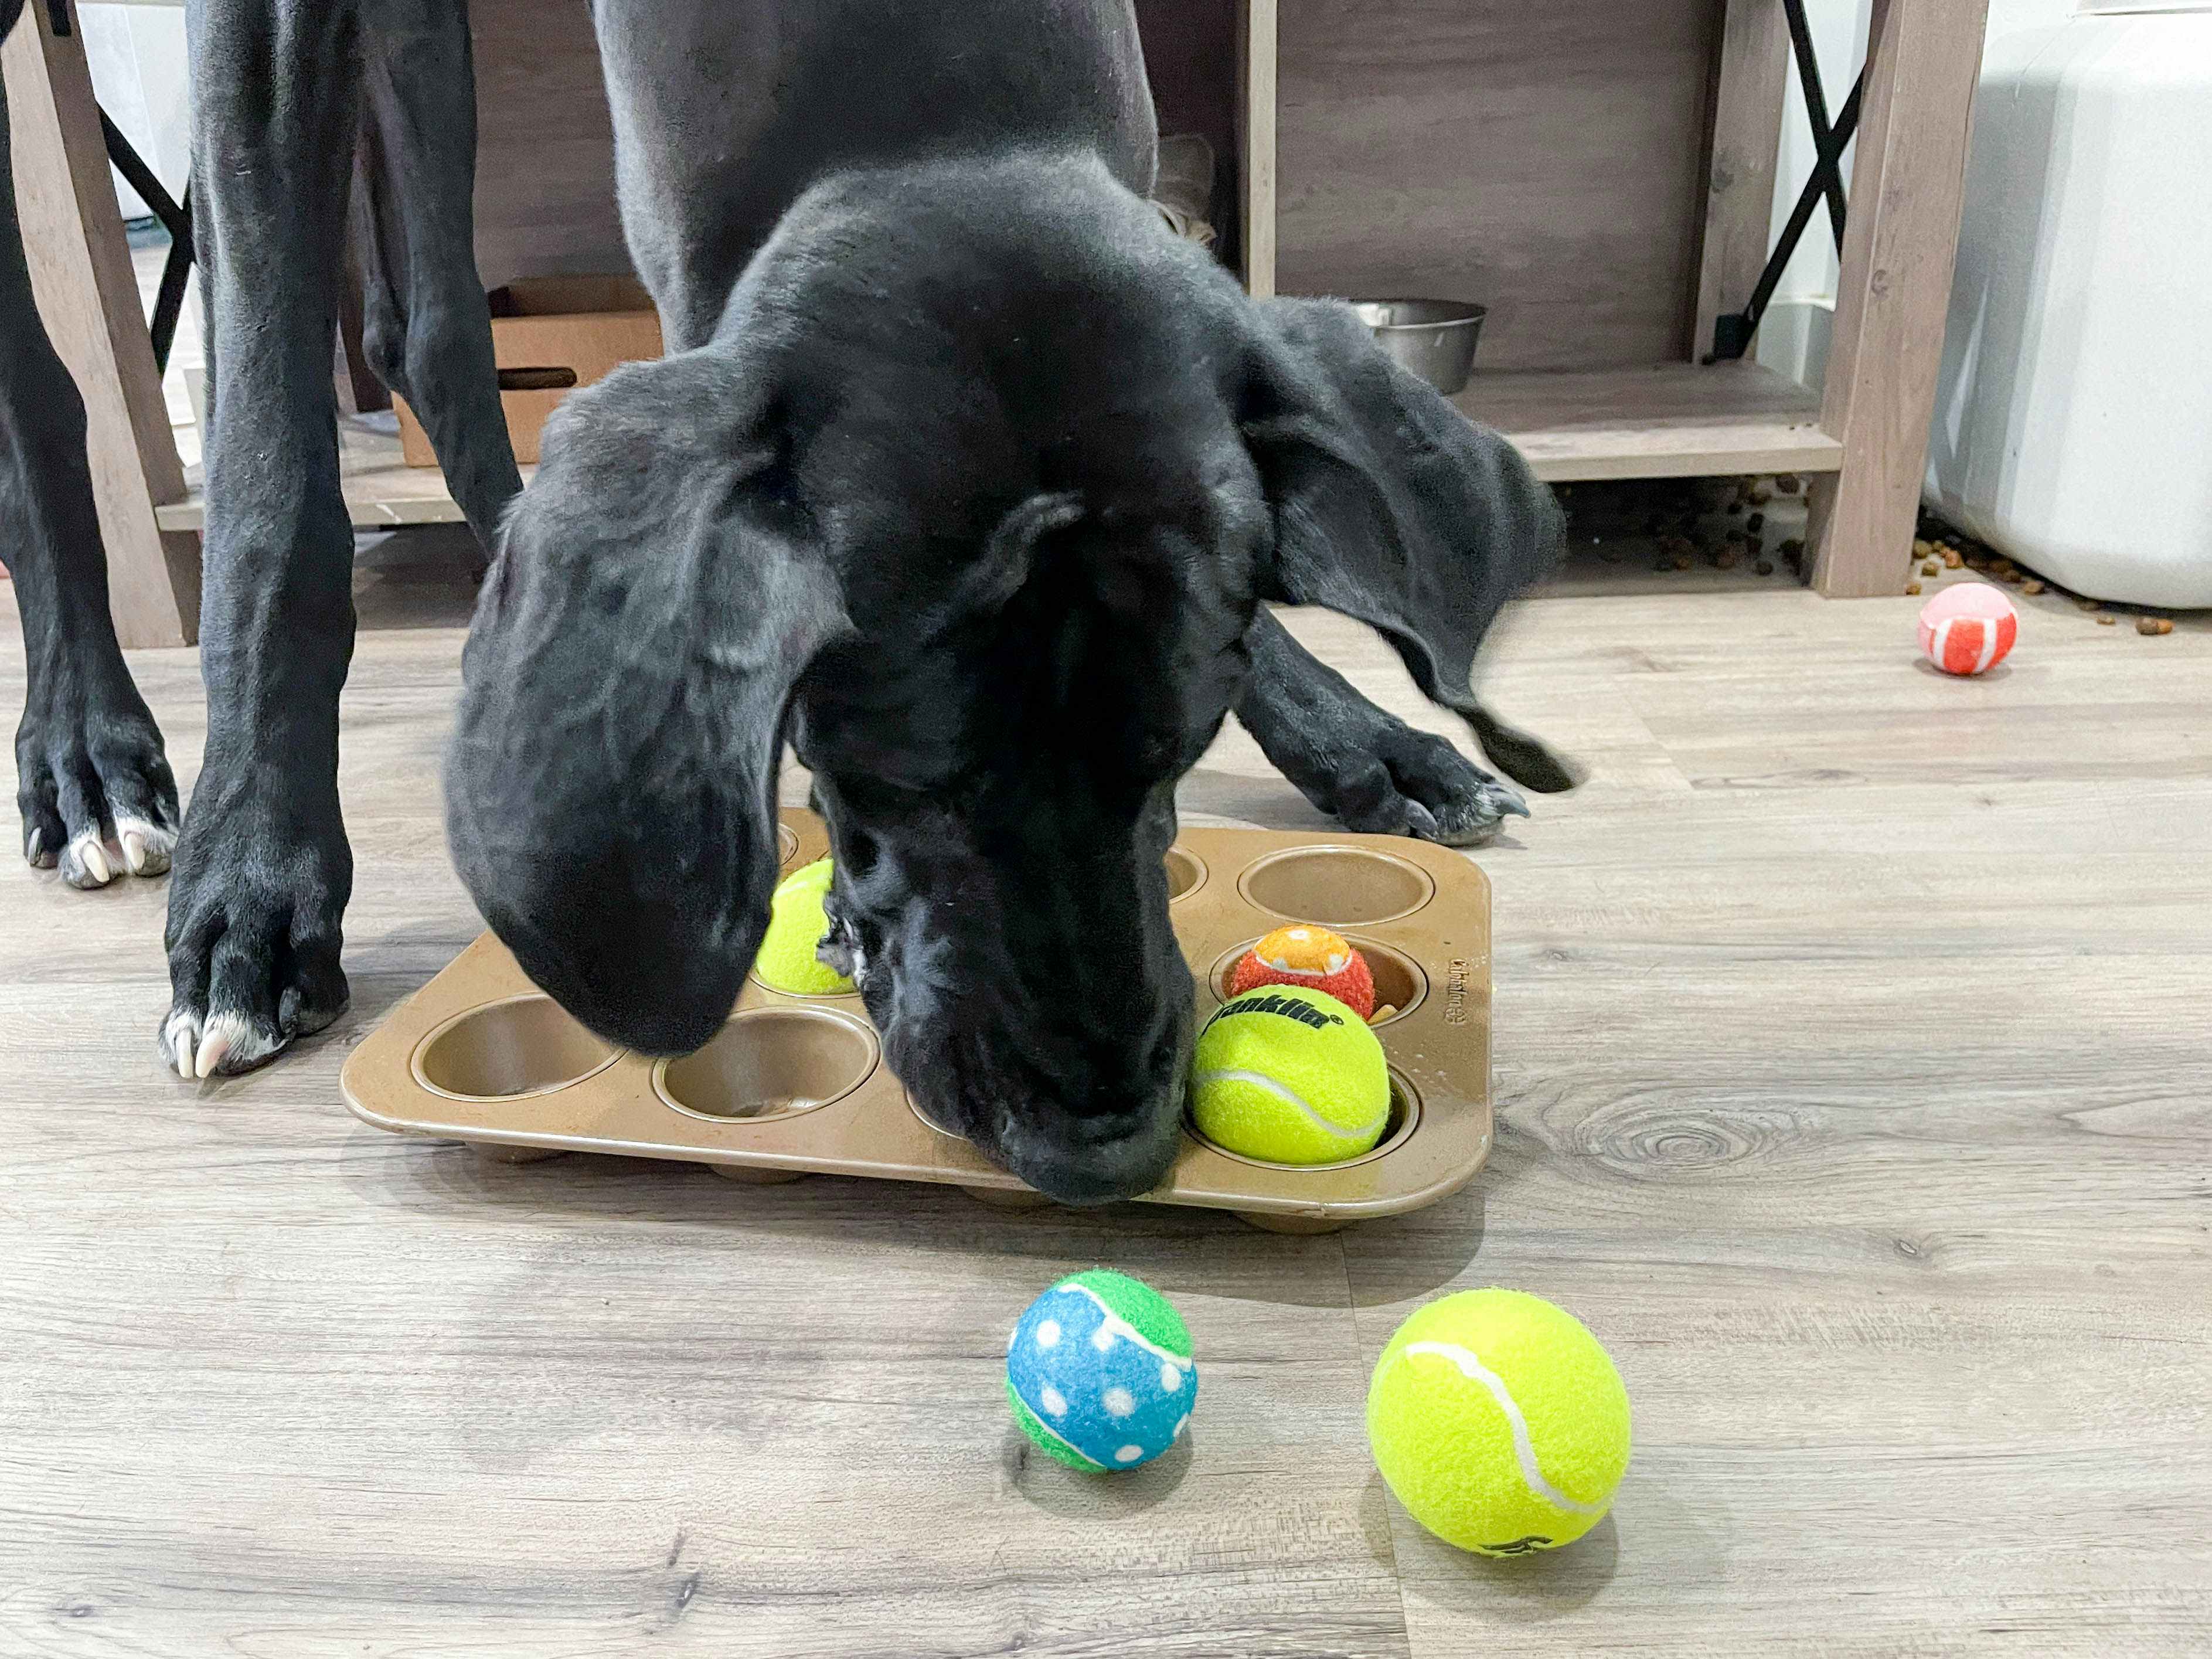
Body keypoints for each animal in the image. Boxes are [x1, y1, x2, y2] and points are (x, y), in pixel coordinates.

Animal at [0, 0, 1566, 1203]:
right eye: (898, 778)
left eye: (1174, 761)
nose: (1103, 1151)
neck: (926, 107)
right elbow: (272, 480)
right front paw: (254, 887)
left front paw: (1371, 739)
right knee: (55, 405)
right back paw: (93, 763)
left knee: (428, 328)